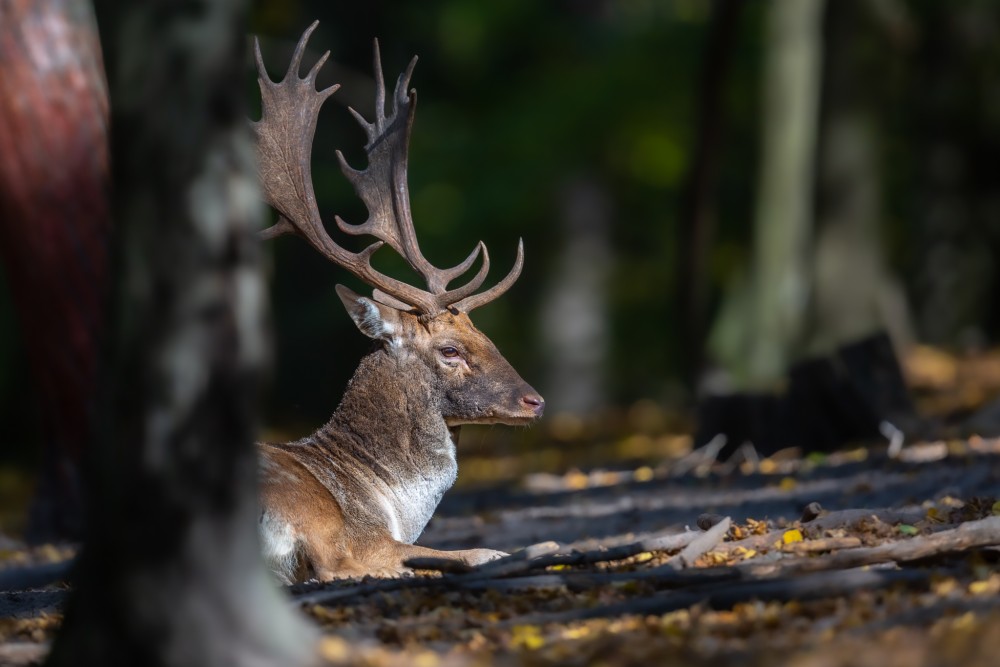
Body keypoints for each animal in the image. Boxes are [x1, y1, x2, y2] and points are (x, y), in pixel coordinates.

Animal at [254, 22, 544, 584]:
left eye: (487, 336)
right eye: (450, 350)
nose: (534, 401)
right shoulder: (353, 530)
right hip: (307, 511)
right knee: (345, 567)